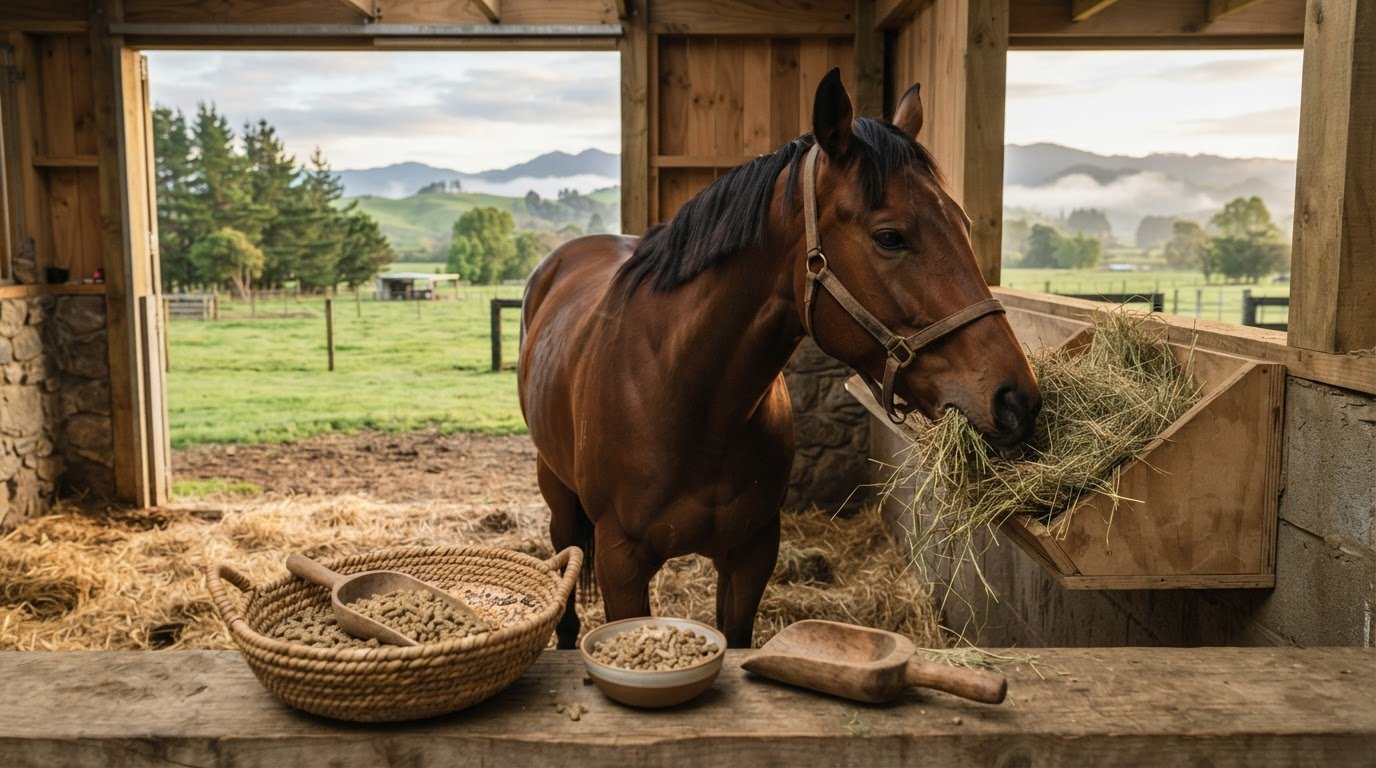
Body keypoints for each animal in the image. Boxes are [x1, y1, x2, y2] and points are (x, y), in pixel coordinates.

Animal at [519, 68, 1040, 649]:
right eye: (890, 237)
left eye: (964, 224)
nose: (1016, 398)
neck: (684, 396)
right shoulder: (621, 563)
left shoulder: (751, 555)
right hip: (556, 492)